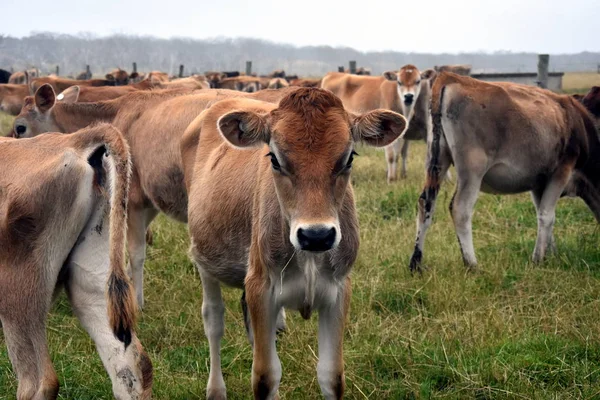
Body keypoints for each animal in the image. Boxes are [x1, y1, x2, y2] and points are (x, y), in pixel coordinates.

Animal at [185, 88, 406, 400]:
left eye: (349, 158)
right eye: (275, 159)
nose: (316, 235)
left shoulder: (339, 290)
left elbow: (332, 376)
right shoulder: (261, 287)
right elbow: (265, 376)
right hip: (204, 259)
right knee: (214, 321)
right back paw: (216, 389)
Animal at [408, 72, 600, 272]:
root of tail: (449, 77)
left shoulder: (539, 181)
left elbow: (543, 213)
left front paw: (551, 254)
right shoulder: (562, 170)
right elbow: (547, 216)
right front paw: (538, 259)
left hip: (436, 160)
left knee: (426, 203)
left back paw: (416, 263)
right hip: (472, 169)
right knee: (460, 208)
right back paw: (472, 264)